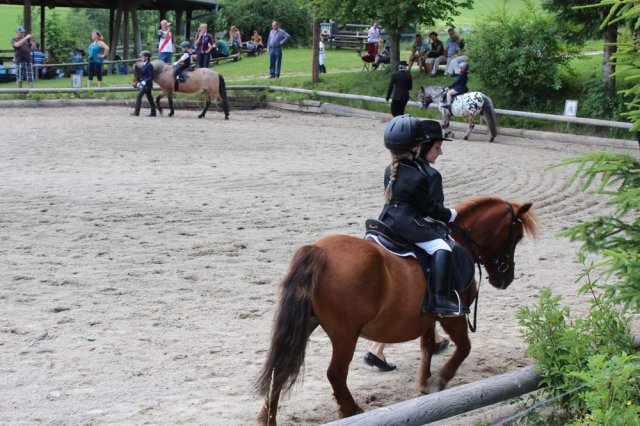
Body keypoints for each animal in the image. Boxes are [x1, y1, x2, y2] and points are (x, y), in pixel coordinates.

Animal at [255, 196, 537, 425]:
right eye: (516, 237)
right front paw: (438, 382)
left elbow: (427, 348)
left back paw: (268, 418)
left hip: (304, 325)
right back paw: (352, 411)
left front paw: (424, 383)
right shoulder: (453, 316)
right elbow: (464, 348)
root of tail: (319, 250)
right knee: (335, 374)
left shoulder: (428, 317)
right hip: (345, 334)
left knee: (280, 370)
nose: (505, 278)